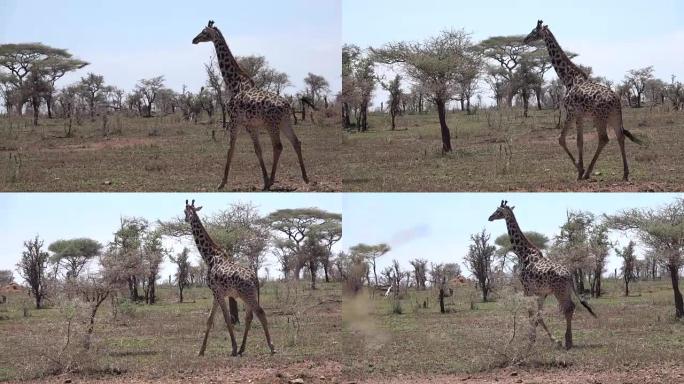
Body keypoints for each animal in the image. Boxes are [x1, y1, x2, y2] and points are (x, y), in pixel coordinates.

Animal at [184, 200, 278, 356]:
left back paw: (271, 347)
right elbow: (209, 319)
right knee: (249, 317)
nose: (186, 219)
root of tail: (255, 278)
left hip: (247, 295)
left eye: (185, 211)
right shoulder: (216, 293)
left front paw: (233, 348)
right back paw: (242, 348)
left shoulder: (218, 292)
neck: (209, 257)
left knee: (260, 313)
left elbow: (227, 318)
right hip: (248, 295)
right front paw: (201, 350)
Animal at [192, 20, 310, 191]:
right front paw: (264, 180)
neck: (234, 84)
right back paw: (305, 177)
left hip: (271, 124)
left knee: (278, 146)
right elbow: (257, 150)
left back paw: (273, 180)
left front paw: (222, 182)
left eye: (204, 32)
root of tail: (287, 105)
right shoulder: (251, 125)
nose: (194, 40)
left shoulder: (236, 121)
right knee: (296, 142)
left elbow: (231, 149)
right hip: (285, 121)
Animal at [488, 200, 596, 350]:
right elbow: (538, 316)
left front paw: (531, 340)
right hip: (566, 290)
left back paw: (568, 341)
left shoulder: (527, 288)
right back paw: (568, 340)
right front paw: (549, 340)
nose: (490, 217)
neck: (522, 253)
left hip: (559, 291)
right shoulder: (541, 292)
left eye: (498, 211)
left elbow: (531, 313)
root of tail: (569, 275)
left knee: (568, 307)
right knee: (571, 306)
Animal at [524, 20, 640, 182]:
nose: (525, 39)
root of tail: (617, 101)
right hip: (614, 117)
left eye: (534, 31)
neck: (568, 79)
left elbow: (562, 139)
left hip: (599, 117)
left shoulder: (571, 112)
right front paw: (580, 169)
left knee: (604, 139)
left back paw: (588, 172)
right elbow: (580, 141)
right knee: (620, 137)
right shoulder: (580, 116)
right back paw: (625, 173)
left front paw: (580, 170)